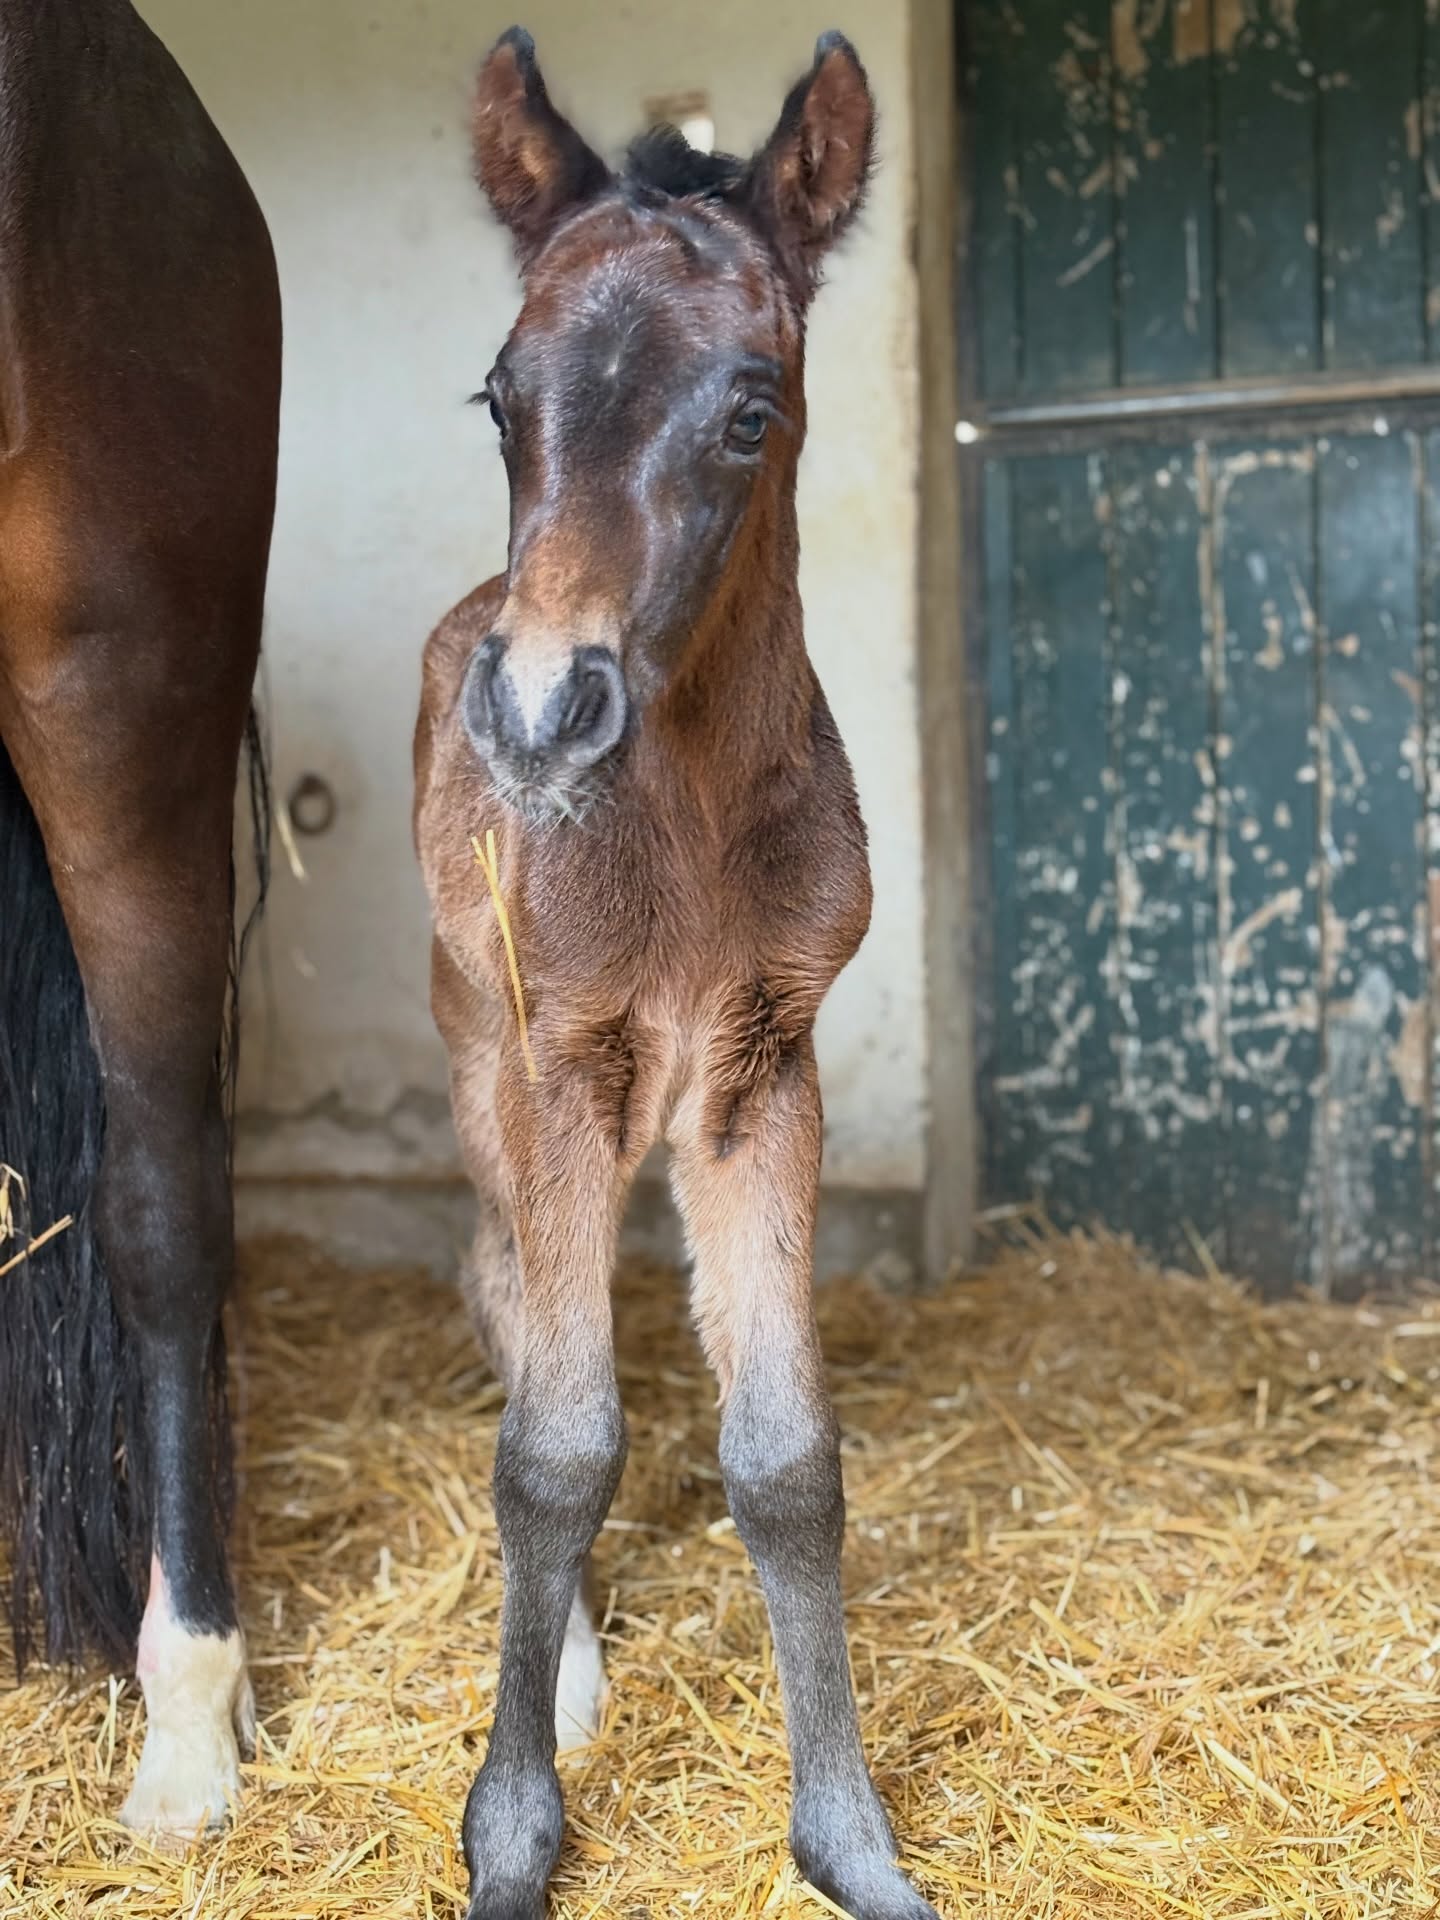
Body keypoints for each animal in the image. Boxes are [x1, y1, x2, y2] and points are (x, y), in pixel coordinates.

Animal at [414, 29, 940, 1920]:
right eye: (500, 402)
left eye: (749, 411)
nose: (538, 709)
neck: (693, 835)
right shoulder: (563, 1062)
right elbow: (557, 1446)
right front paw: (512, 1837)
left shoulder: (758, 1069)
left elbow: (785, 1460)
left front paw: (850, 1843)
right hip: (478, 1062)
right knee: (504, 1292)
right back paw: (567, 1671)